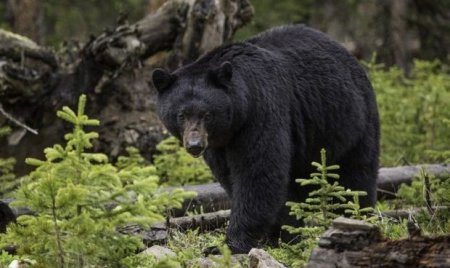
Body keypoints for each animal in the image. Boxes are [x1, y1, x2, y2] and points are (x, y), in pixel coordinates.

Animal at [152, 25, 380, 253]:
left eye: (207, 114)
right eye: (181, 115)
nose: (195, 145)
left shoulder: (261, 110)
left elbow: (258, 173)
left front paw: (229, 244)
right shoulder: (219, 144)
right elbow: (231, 176)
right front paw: (280, 234)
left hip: (352, 122)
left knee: (356, 176)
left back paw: (356, 217)